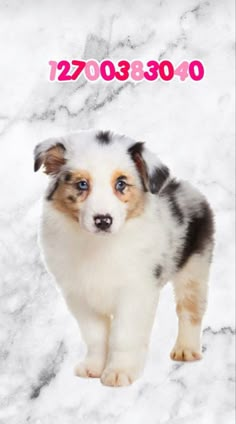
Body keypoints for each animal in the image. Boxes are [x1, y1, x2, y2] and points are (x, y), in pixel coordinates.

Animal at [34, 130, 214, 388]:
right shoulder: (78, 295)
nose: (103, 220)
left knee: (190, 309)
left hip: (195, 266)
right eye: (81, 184)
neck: (99, 246)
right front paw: (93, 368)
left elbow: (124, 336)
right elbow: (95, 335)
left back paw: (186, 350)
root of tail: (186, 186)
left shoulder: (136, 293)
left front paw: (119, 372)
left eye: (121, 184)